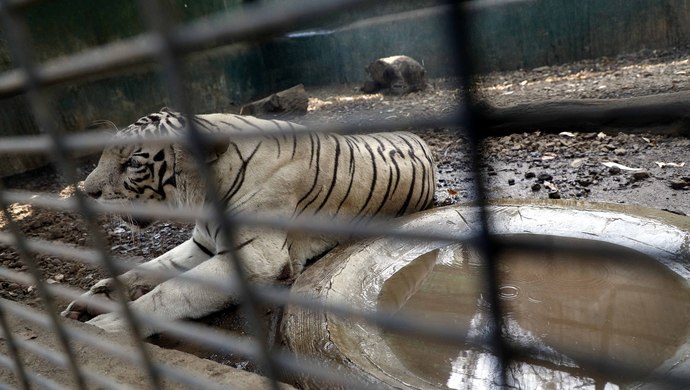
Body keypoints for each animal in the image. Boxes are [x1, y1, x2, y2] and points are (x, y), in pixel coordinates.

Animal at [61, 106, 432, 336]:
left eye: (134, 164)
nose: (87, 191)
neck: (203, 197)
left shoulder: (254, 258)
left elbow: (173, 291)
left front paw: (107, 325)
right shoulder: (202, 244)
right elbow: (155, 266)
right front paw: (97, 297)